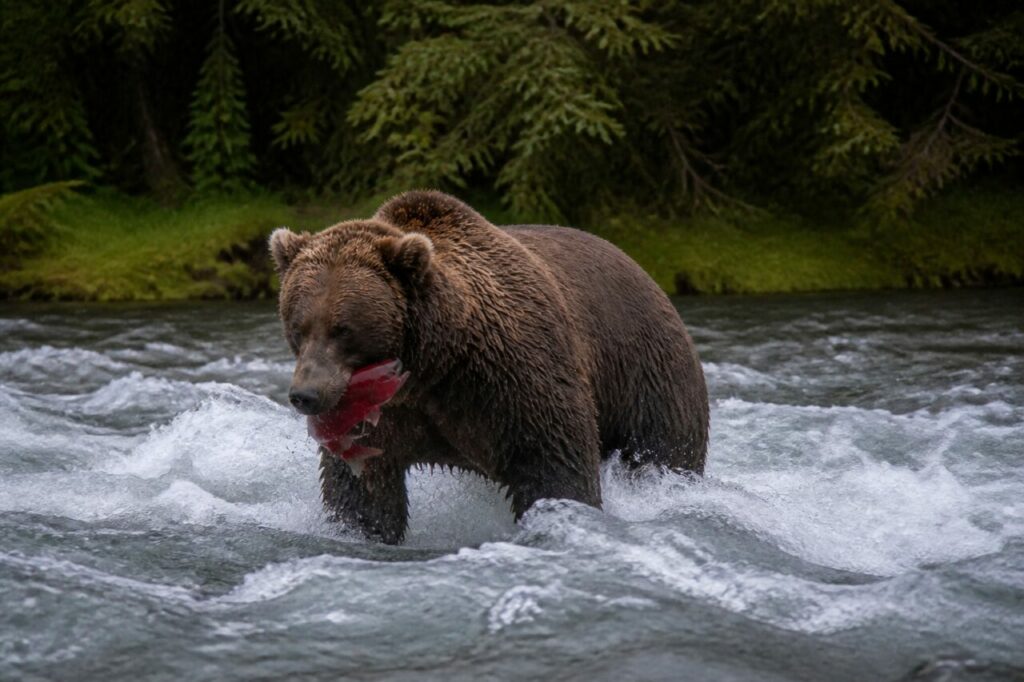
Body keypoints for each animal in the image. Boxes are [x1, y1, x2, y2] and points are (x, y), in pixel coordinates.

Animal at [270, 191, 708, 544]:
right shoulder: (381, 408)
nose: (305, 395)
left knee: (664, 450)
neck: (433, 363)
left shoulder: (511, 376)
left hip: (647, 373)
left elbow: (553, 461)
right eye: (297, 326)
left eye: (343, 329)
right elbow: (362, 485)